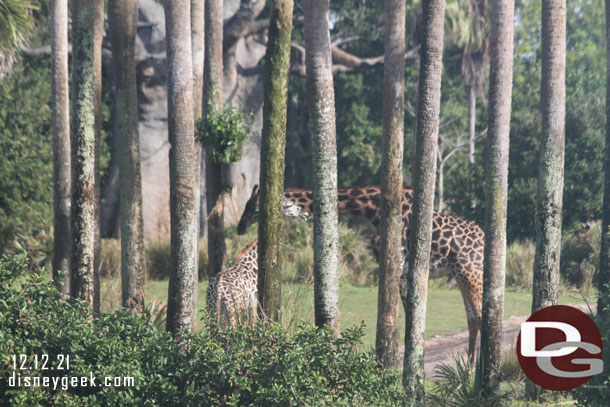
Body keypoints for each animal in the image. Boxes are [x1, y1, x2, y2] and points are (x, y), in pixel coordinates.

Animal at [235, 185, 482, 364]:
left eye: (253, 208)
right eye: (247, 205)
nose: (239, 228)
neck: (372, 208)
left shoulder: (398, 264)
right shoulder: (404, 273)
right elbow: (408, 319)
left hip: (469, 274)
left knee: (478, 317)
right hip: (463, 275)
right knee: (473, 318)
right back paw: (468, 372)